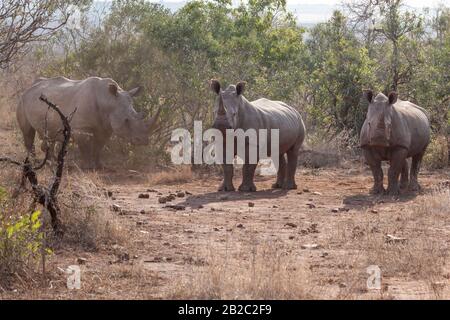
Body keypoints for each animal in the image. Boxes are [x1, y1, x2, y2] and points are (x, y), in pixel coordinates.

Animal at [17, 76, 160, 169]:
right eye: (126, 120)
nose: (143, 141)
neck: (108, 100)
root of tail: (29, 87)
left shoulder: (105, 127)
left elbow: (99, 146)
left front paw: (100, 166)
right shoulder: (82, 127)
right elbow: (85, 146)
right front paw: (86, 167)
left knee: (50, 133)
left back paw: (50, 162)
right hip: (22, 100)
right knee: (28, 132)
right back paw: (34, 163)